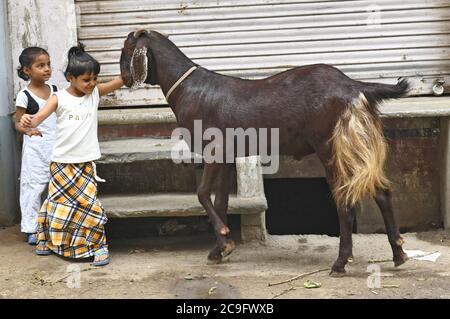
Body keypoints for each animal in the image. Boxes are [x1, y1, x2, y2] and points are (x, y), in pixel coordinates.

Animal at [118, 29, 408, 276]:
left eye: (125, 48)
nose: (124, 79)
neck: (189, 88)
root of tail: (353, 87)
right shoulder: (227, 156)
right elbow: (221, 201)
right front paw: (220, 249)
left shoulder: (214, 150)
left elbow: (202, 193)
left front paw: (224, 241)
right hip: (355, 144)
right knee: (381, 192)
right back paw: (398, 254)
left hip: (330, 146)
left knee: (344, 199)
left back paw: (340, 262)